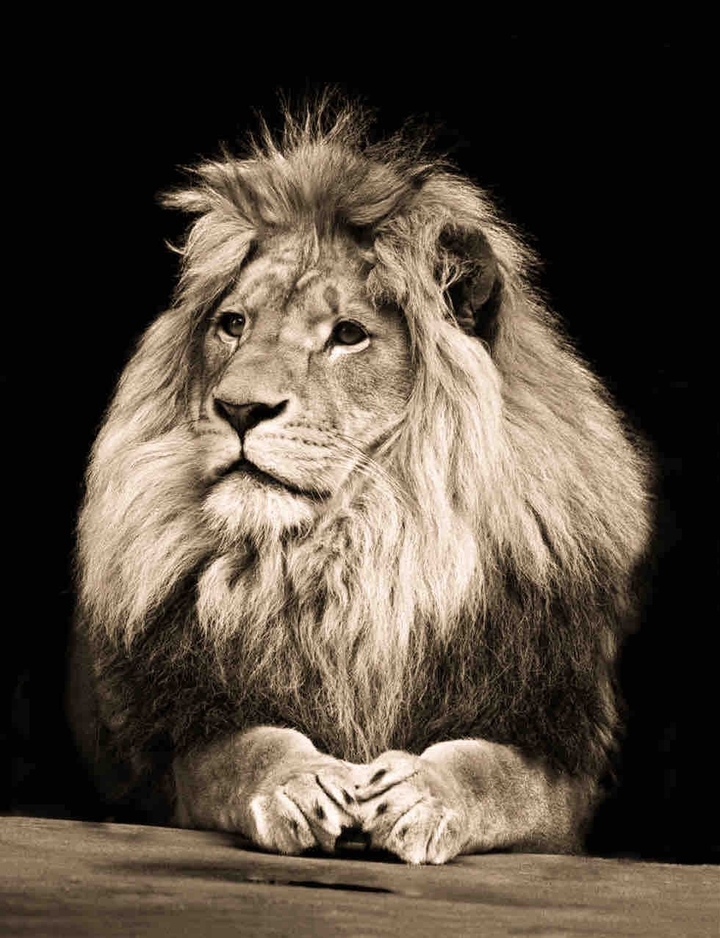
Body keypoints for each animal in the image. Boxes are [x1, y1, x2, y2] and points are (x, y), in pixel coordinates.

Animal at [68, 101, 651, 864]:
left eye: (348, 335)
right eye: (232, 325)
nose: (239, 408)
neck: (357, 555)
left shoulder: (557, 754)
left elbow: (496, 773)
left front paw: (423, 793)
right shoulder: (181, 741)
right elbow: (243, 751)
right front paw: (299, 783)